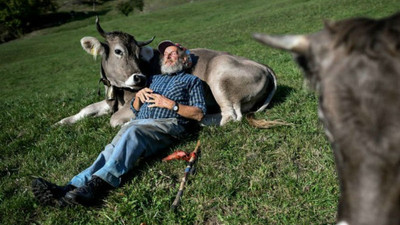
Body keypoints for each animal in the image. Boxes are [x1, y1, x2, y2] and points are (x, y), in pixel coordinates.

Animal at [57, 17, 278, 127]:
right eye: (118, 51)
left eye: (138, 53)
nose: (139, 78)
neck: (118, 93)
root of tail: (264, 66)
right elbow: (86, 109)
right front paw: (62, 122)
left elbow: (114, 120)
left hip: (219, 74)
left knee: (231, 116)